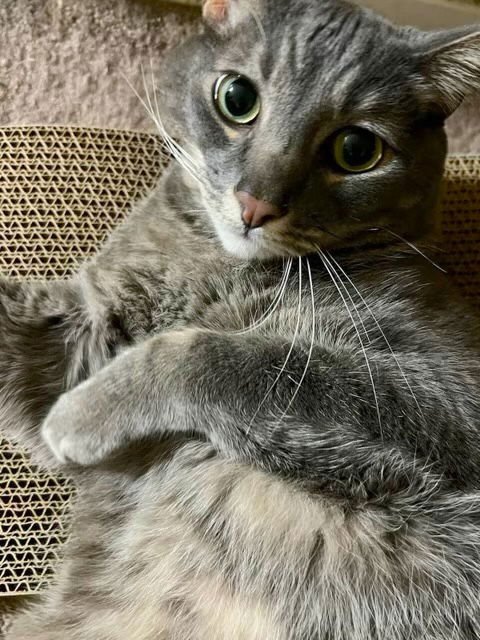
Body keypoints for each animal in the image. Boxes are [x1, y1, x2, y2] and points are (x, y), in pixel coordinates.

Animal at [3, 0, 480, 638]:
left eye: (357, 149)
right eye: (237, 98)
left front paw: (81, 414)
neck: (212, 263)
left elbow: (214, 353)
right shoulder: (76, 339)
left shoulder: (447, 397)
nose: (256, 203)